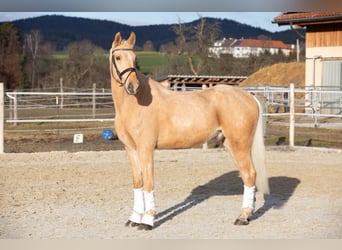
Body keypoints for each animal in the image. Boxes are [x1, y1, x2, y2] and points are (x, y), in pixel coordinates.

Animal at [109, 31, 270, 230]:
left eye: (134, 58)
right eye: (118, 57)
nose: (133, 86)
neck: (134, 103)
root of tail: (249, 96)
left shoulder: (146, 149)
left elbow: (148, 182)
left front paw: (147, 221)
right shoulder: (130, 149)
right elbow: (137, 182)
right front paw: (134, 218)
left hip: (240, 145)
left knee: (249, 174)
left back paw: (243, 217)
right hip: (231, 145)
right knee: (248, 175)